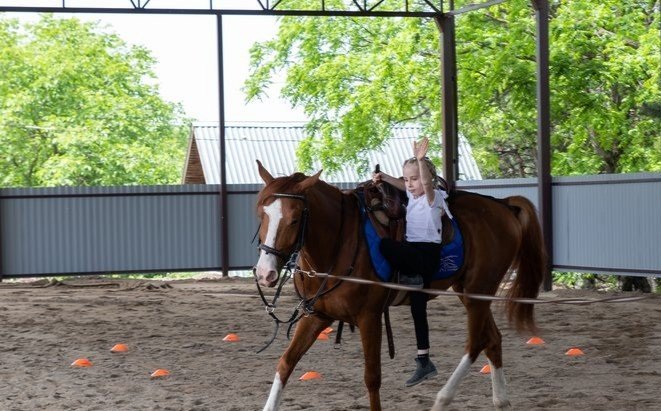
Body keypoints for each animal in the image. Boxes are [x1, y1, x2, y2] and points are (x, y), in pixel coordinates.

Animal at [254, 162, 548, 411]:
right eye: (262, 214)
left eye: (294, 219)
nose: (265, 273)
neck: (340, 243)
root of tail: (503, 205)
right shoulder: (317, 315)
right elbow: (286, 363)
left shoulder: (370, 317)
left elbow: (372, 377)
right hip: (470, 293)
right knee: (493, 340)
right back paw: (501, 401)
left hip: (479, 291)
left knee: (476, 343)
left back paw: (442, 399)